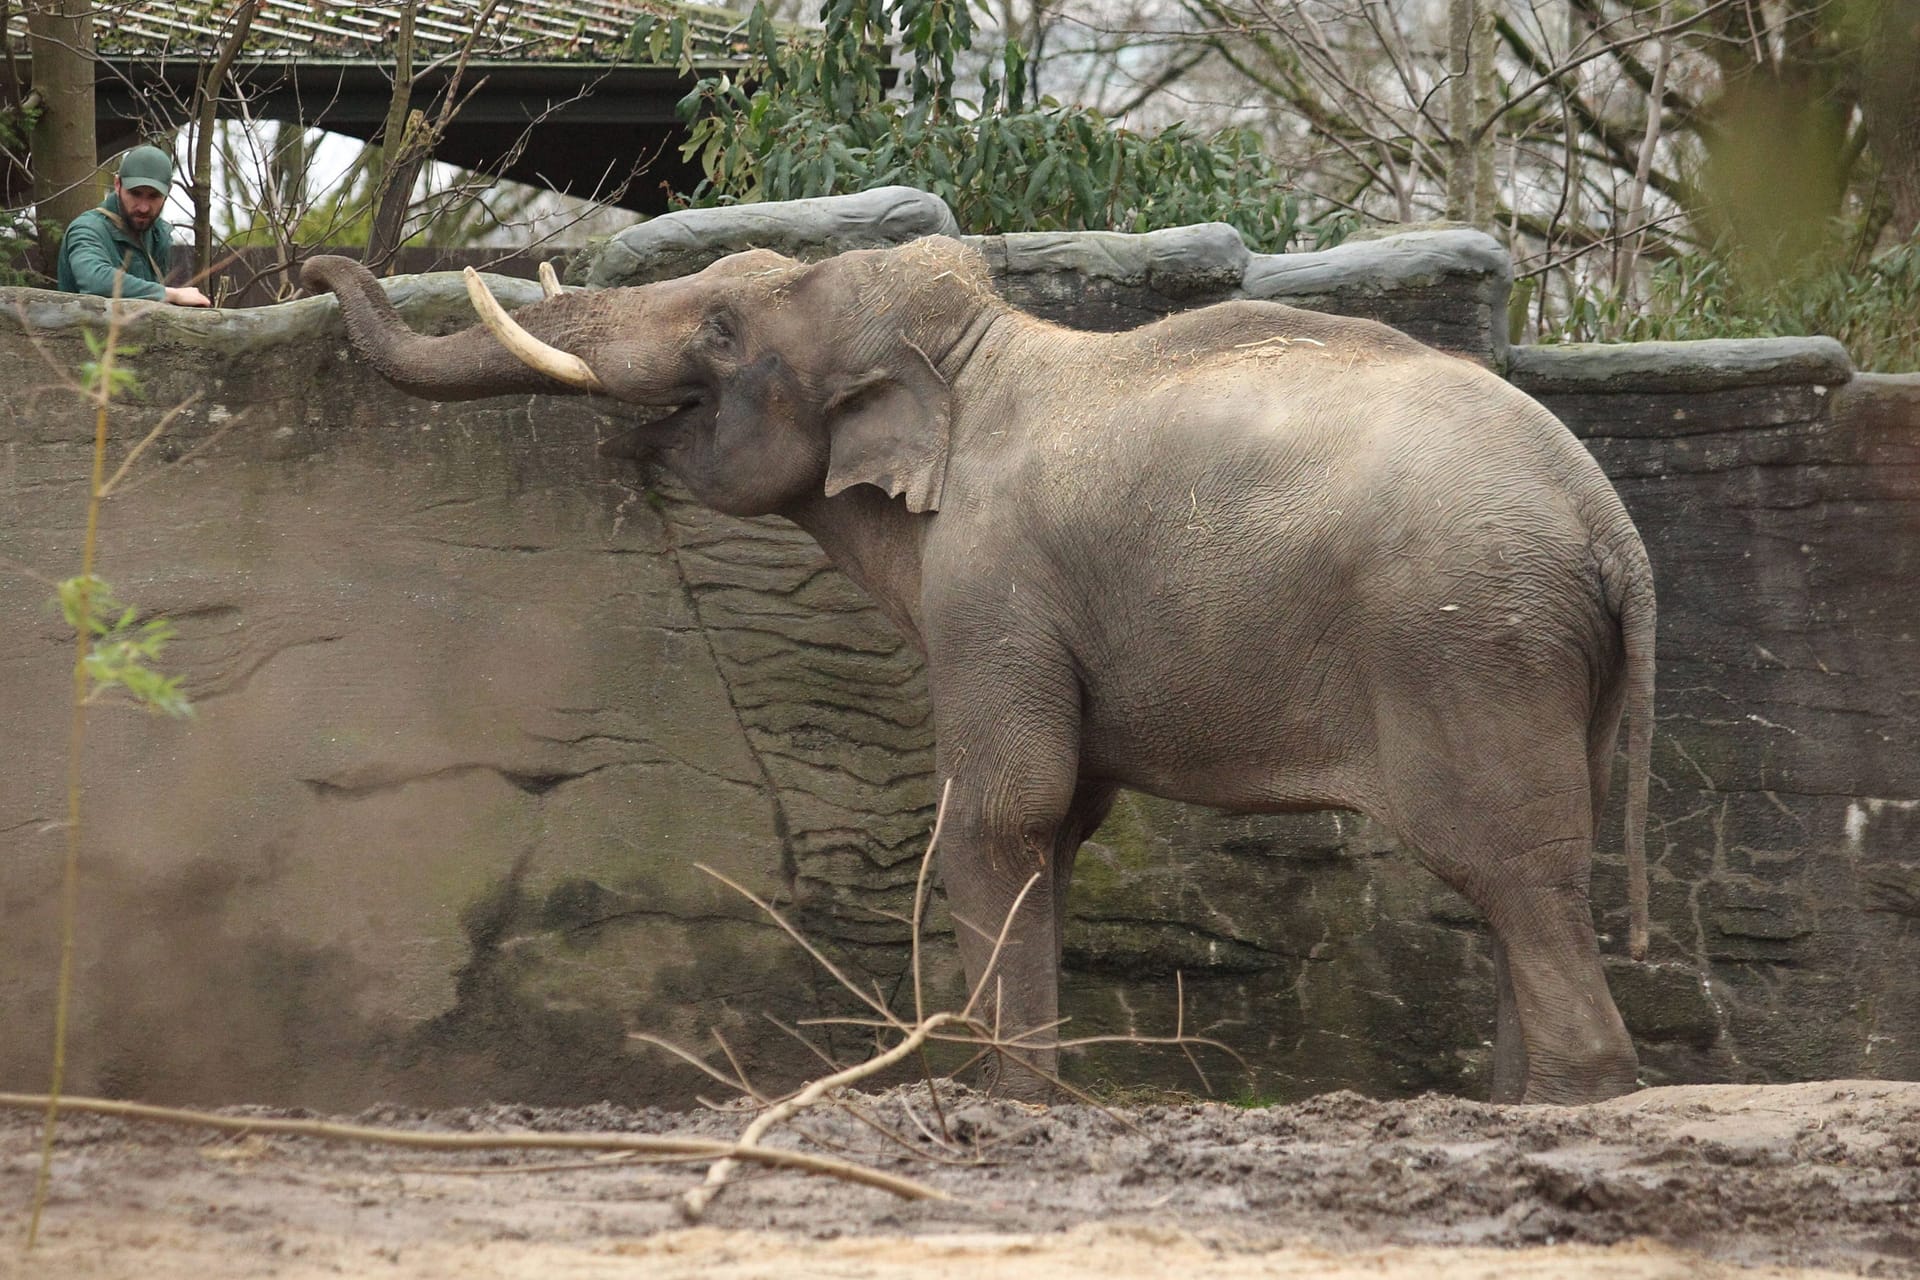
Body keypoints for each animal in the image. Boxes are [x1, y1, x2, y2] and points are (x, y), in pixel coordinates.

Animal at [303, 237, 1651, 1105]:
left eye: (724, 334)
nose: (318, 272)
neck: (971, 353)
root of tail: (1610, 529)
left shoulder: (992, 582)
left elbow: (1005, 808)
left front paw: (1010, 1096)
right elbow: (1060, 821)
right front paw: (1036, 1090)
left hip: (1468, 640)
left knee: (1506, 864)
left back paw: (1572, 1099)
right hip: (1542, 656)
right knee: (1543, 871)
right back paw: (1516, 1101)